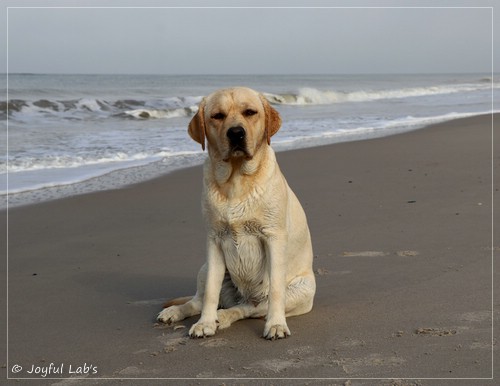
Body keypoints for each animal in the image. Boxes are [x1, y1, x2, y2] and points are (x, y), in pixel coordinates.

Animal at [158, 88, 314, 340]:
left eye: (250, 112)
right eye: (217, 116)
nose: (236, 133)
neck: (236, 181)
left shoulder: (273, 237)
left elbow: (276, 292)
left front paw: (276, 325)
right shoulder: (214, 240)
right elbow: (211, 293)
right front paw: (204, 323)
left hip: (302, 290)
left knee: (248, 308)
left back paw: (224, 316)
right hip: (204, 267)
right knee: (199, 300)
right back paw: (178, 312)